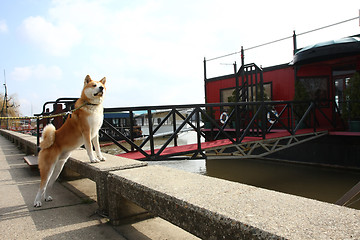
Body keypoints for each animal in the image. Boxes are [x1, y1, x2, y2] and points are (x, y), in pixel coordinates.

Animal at [33, 75, 107, 208]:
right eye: (94, 85)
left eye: (102, 85)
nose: (101, 88)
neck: (92, 106)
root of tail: (46, 144)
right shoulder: (87, 132)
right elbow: (89, 148)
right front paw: (93, 159)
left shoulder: (96, 133)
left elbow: (98, 148)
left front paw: (100, 157)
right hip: (47, 168)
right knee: (41, 186)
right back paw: (37, 201)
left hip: (58, 168)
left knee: (48, 184)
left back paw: (46, 197)